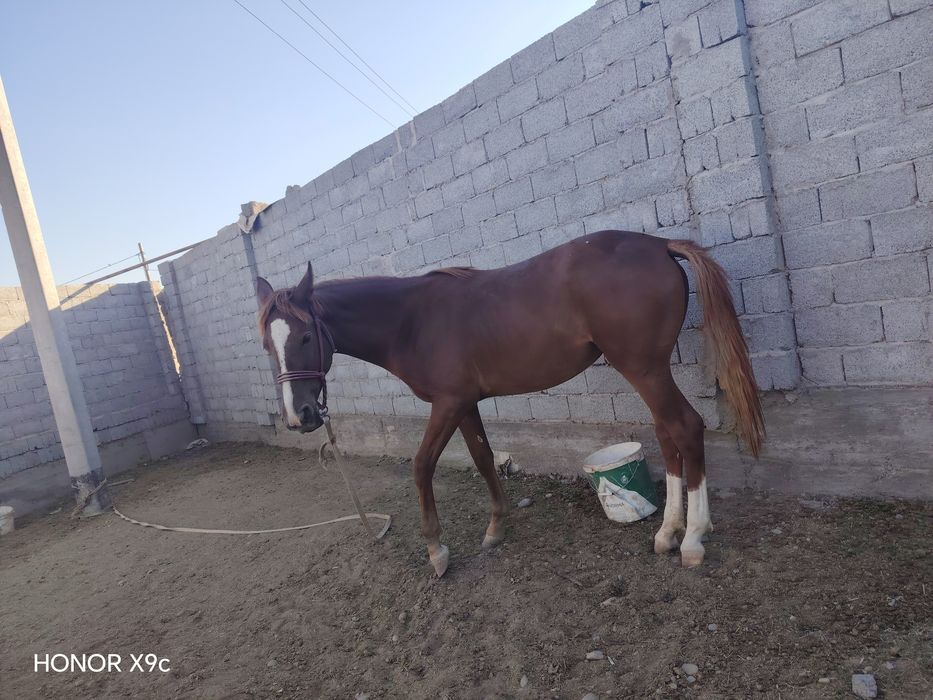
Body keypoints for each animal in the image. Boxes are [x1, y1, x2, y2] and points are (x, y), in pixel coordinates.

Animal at [256, 230, 764, 576]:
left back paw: (693, 538)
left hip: (643, 367)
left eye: (306, 336)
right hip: (648, 369)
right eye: (266, 344)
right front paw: (495, 528)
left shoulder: (447, 404)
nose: (299, 417)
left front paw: (436, 550)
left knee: (685, 427)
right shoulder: (465, 404)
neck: (412, 319)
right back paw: (668, 532)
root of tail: (658, 244)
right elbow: (483, 458)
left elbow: (422, 465)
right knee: (667, 432)